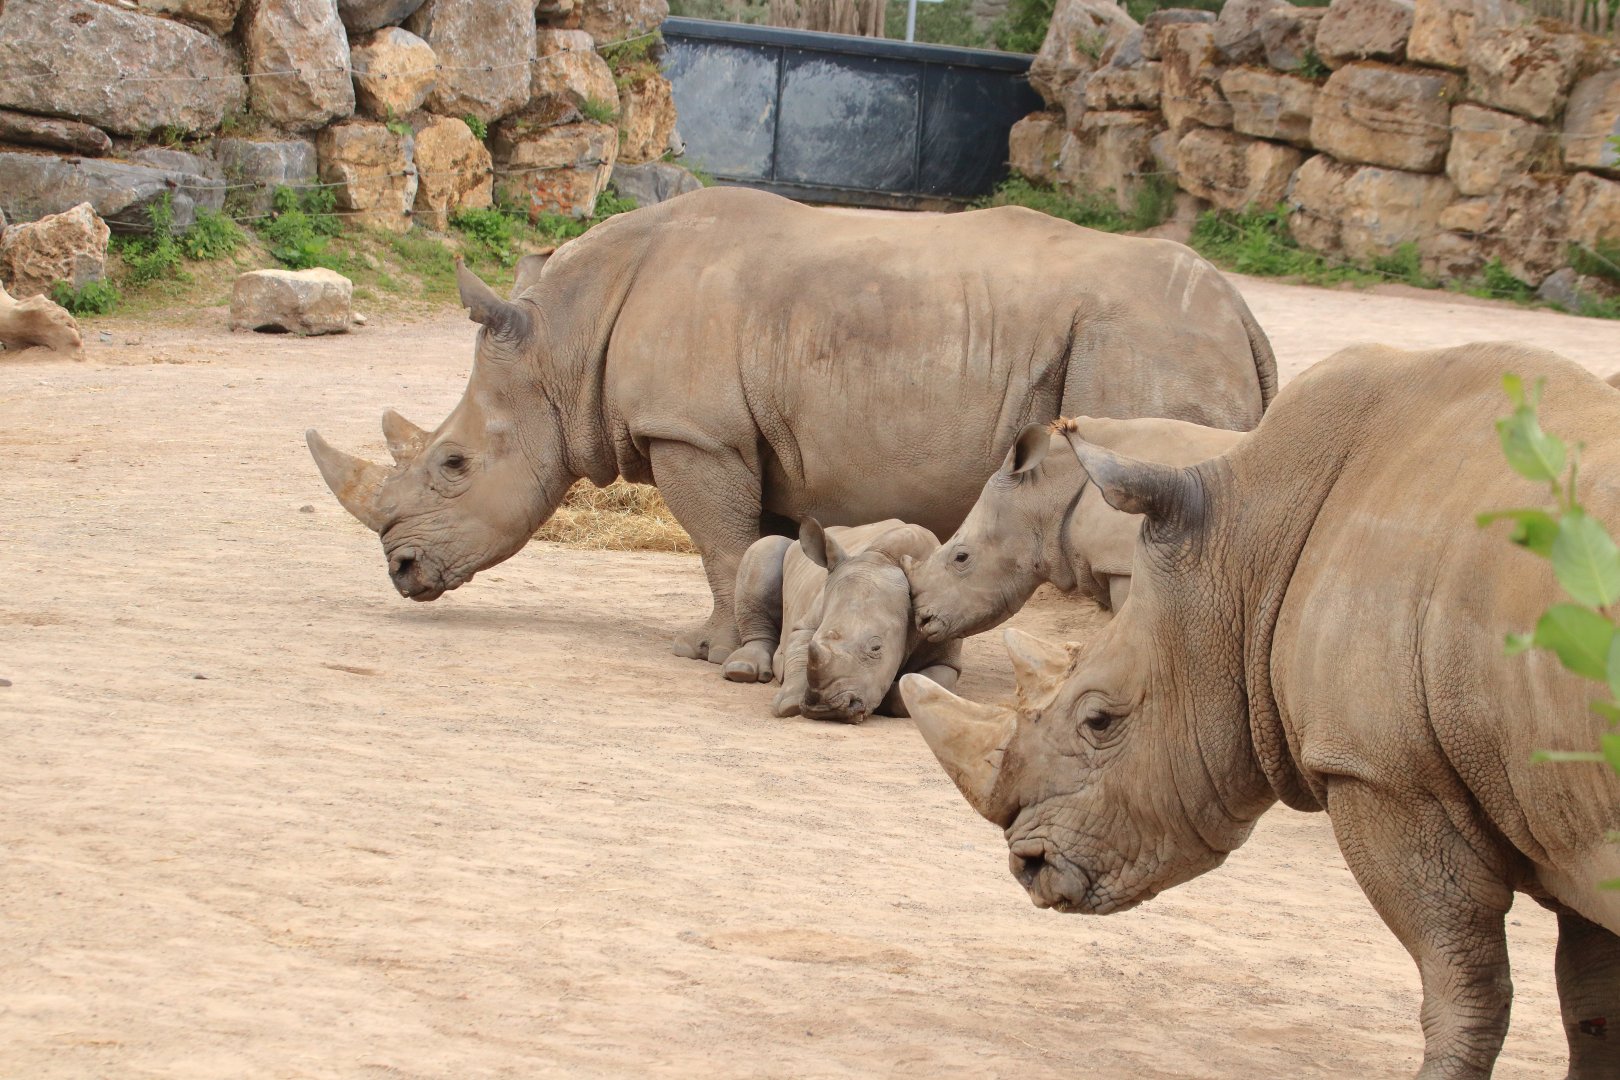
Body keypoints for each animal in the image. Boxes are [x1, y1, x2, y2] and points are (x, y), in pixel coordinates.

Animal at [726, 518, 960, 723]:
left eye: (876, 648)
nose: (824, 710)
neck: (883, 558)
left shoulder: (945, 649)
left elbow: (924, 686)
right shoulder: (808, 621)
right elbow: (799, 647)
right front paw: (790, 705)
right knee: (765, 547)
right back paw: (741, 670)